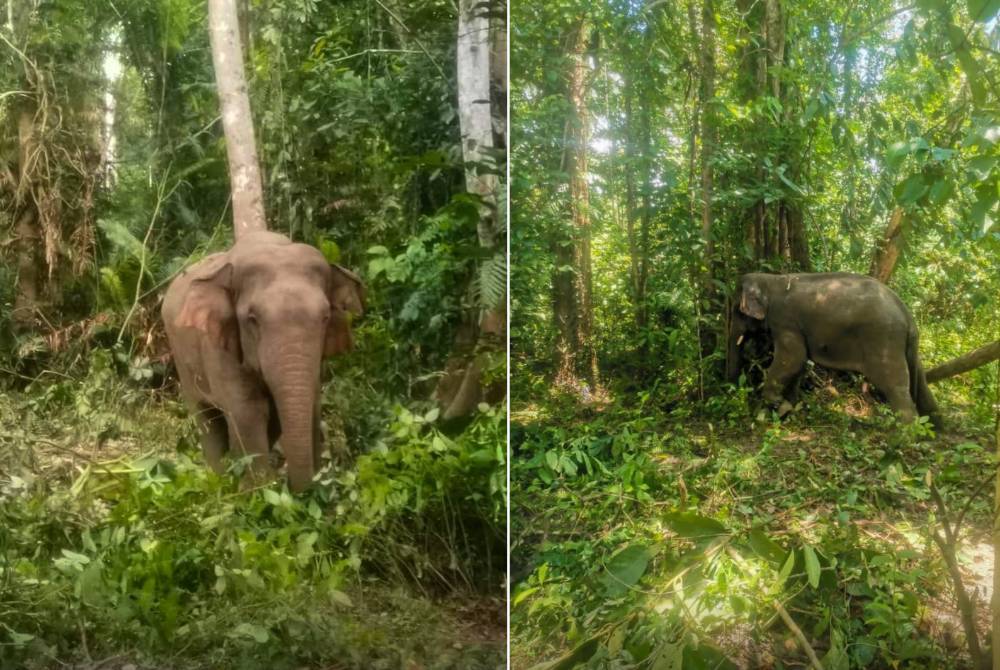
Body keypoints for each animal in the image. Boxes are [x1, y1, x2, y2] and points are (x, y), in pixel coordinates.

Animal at [162, 232, 366, 494]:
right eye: (252, 319)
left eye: (326, 317)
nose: (298, 488)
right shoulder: (218, 347)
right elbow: (248, 411)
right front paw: (258, 492)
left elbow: (307, 404)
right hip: (181, 358)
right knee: (206, 417)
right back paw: (219, 480)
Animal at [724, 270, 940, 428]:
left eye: (736, 310)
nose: (734, 391)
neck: (771, 279)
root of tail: (906, 314)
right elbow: (799, 363)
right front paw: (788, 407)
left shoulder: (785, 321)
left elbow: (793, 358)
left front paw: (777, 403)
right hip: (906, 346)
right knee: (920, 382)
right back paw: (936, 425)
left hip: (885, 341)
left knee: (894, 386)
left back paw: (905, 436)